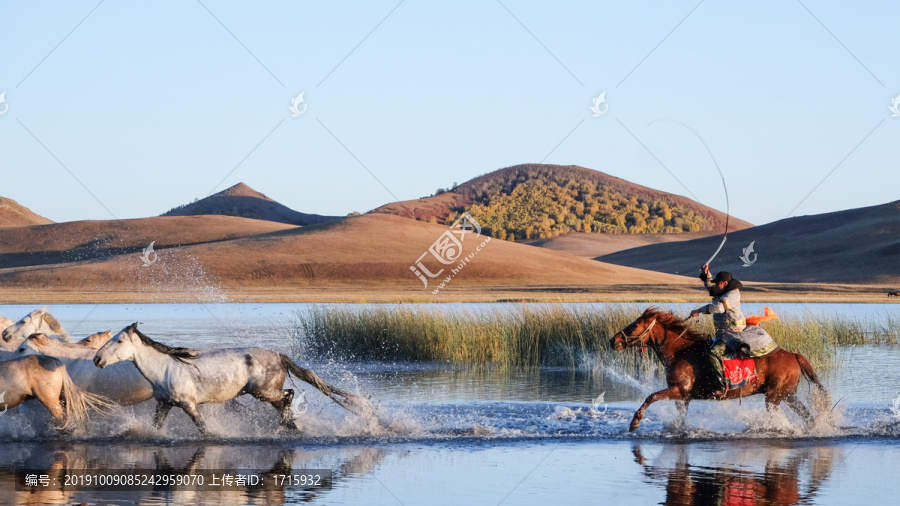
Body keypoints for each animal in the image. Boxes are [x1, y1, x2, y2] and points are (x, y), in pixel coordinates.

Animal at [95, 324, 370, 434]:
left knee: (289, 396)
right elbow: (156, 427)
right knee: (284, 404)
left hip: (264, 392)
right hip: (266, 395)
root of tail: (279, 356)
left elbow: (204, 429)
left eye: (119, 341)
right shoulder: (164, 404)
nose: (97, 359)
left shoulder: (189, 405)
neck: (165, 369)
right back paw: (287, 426)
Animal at [608, 308, 828, 430]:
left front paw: (635, 423)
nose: (613, 341)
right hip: (788, 395)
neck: (680, 352)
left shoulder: (678, 390)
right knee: (807, 416)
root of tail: (793, 355)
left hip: (774, 397)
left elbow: (651, 397)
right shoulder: (683, 397)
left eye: (634, 326)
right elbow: (680, 418)